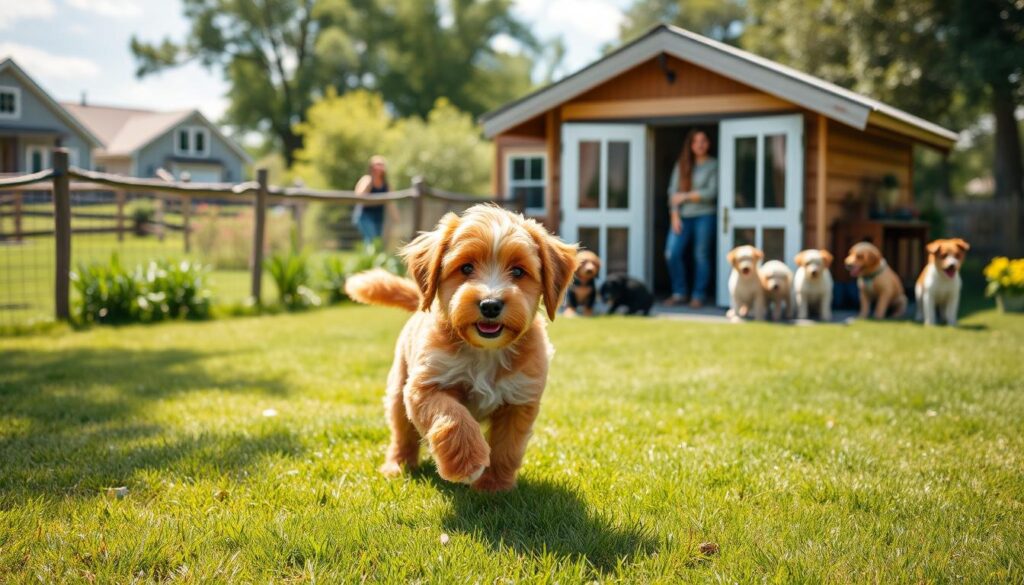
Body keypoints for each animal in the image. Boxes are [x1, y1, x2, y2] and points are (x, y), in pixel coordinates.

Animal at [344, 203, 581, 491]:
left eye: (517, 271)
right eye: (466, 268)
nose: (490, 305)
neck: (485, 352)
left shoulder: (520, 399)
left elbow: (507, 447)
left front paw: (494, 486)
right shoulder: (425, 386)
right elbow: (452, 416)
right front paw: (467, 463)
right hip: (399, 388)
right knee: (402, 432)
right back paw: (397, 466)